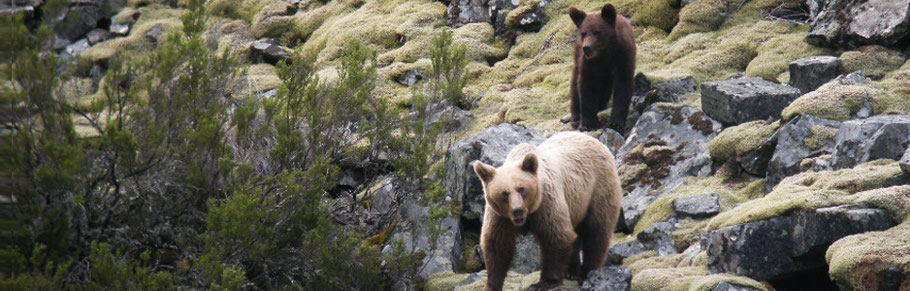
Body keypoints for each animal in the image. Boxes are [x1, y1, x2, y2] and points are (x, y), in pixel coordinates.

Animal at [568, 3, 636, 133]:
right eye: (583, 33)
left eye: (597, 32)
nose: (587, 47)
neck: (605, 53)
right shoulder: (589, 63)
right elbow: (586, 86)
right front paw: (588, 123)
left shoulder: (622, 57)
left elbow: (623, 86)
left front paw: (616, 123)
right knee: (574, 83)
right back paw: (575, 117)